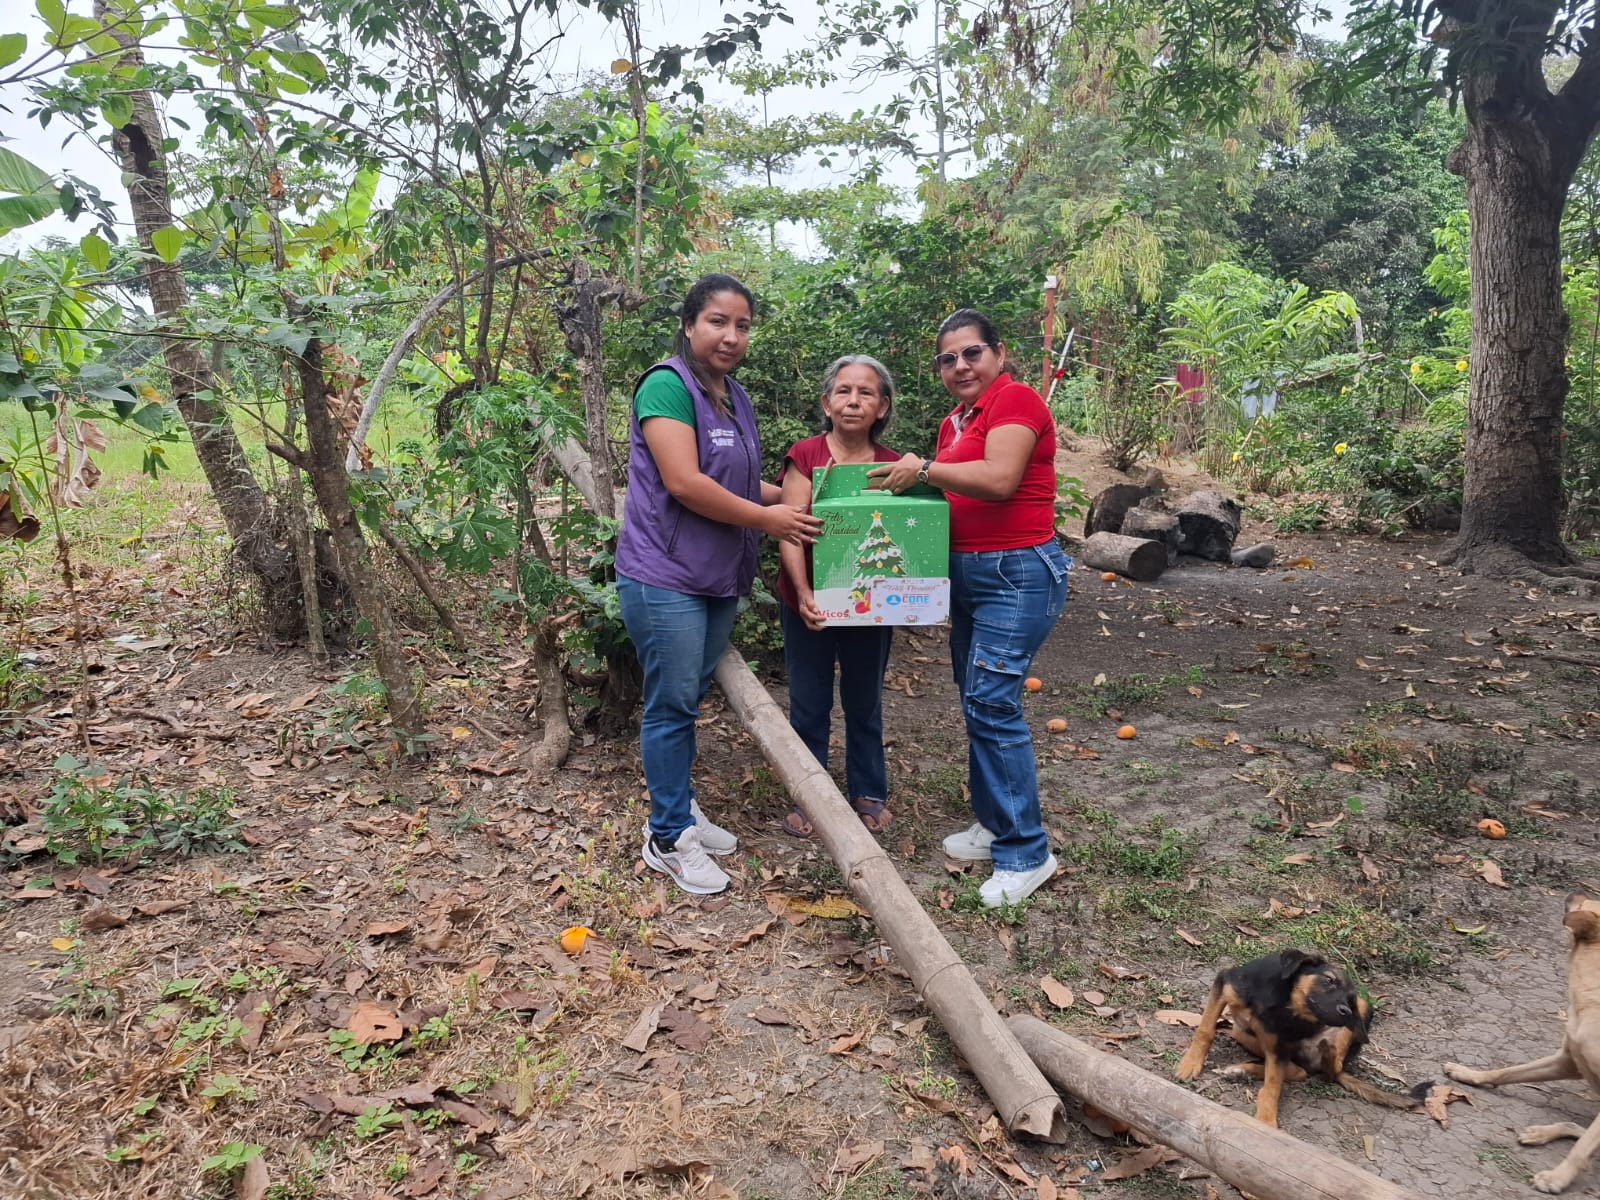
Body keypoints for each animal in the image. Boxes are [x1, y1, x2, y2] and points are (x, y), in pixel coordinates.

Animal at [1174, 948, 1424, 1127]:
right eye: (1329, 980)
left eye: (1350, 998)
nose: (1345, 1011)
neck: (1284, 1003)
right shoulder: (1225, 983)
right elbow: (1206, 1029)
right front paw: (1190, 1064)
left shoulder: (1279, 1045)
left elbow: (1274, 1084)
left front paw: (1265, 1124)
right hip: (1242, 1032)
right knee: (1299, 1069)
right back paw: (1240, 1070)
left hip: (1361, 1012)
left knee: (1326, 1069)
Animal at [1443, 892, 1600, 1194]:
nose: (1572, 892)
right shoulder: (1567, 1061)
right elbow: (1507, 1072)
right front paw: (1469, 1074)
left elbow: (1582, 1151)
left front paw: (1556, 1178)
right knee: (1579, 1129)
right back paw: (1541, 1132)